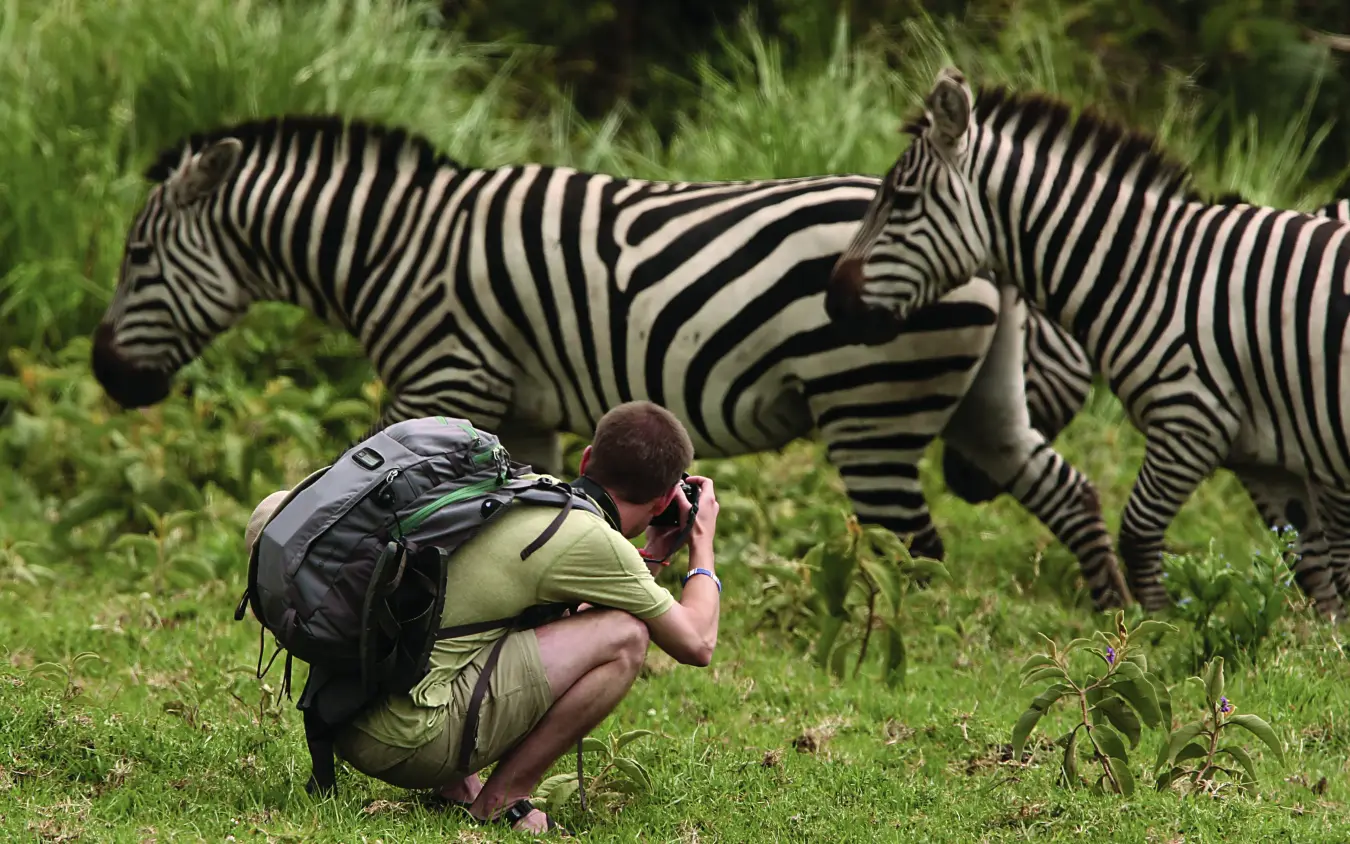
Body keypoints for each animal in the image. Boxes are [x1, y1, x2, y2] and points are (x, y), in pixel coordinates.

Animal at [90, 113, 1129, 610]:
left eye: (137, 258)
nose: (106, 376)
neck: (393, 246)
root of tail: (985, 253)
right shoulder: (525, 404)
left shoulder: (444, 373)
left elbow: (381, 493)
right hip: (979, 401)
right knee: (1067, 491)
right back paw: (1120, 614)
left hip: (871, 402)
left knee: (914, 549)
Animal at [823, 65, 1350, 621]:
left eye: (902, 199)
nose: (832, 300)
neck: (1149, 272)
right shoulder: (1263, 455)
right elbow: (1310, 564)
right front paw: (1320, 640)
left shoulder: (1190, 421)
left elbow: (1138, 534)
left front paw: (1157, 630)